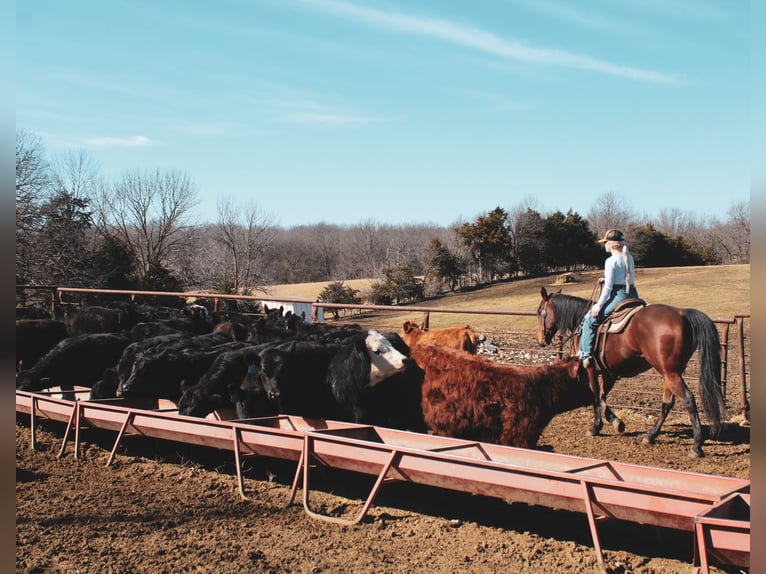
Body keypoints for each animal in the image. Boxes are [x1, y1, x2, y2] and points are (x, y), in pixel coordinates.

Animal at [536, 288, 728, 460]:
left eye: (539, 312)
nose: (540, 340)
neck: (580, 321)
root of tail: (682, 314)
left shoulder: (590, 367)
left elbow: (596, 396)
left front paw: (597, 427)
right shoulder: (609, 373)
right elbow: (602, 397)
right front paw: (617, 423)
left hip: (671, 373)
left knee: (688, 399)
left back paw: (696, 446)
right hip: (670, 372)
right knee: (667, 403)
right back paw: (650, 436)